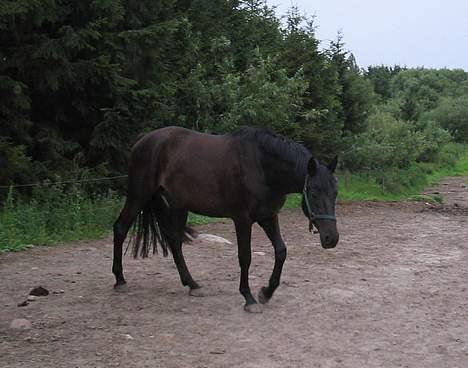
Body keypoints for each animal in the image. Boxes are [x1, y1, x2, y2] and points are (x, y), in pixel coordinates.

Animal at [113, 126, 340, 314]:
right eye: (313, 193)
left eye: (335, 193)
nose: (331, 238)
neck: (261, 166)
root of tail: (143, 140)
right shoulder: (242, 219)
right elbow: (245, 257)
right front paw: (249, 299)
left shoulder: (268, 217)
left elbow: (281, 251)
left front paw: (266, 292)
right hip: (138, 196)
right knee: (120, 228)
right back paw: (120, 280)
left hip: (178, 207)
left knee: (175, 242)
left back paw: (192, 284)